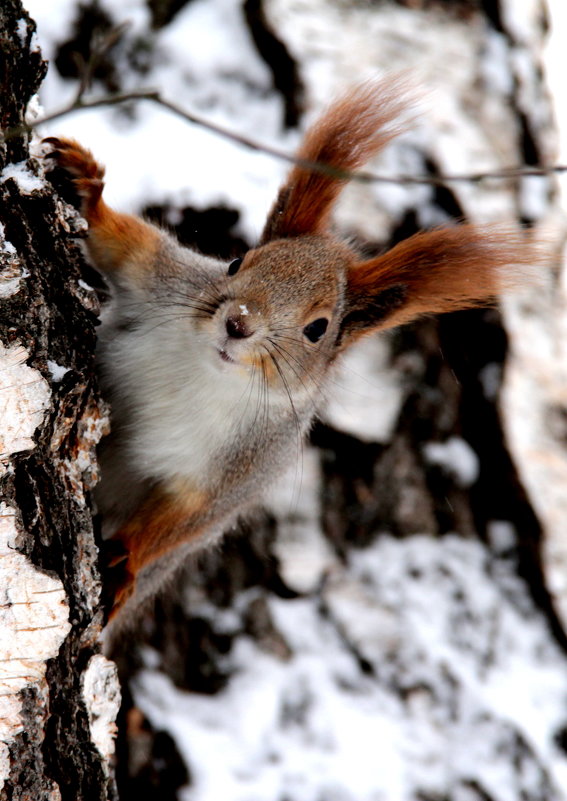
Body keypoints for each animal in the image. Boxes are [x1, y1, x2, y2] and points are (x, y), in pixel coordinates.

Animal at [42, 78, 536, 620]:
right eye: (237, 263)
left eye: (318, 328)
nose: (238, 323)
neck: (209, 370)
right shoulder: (165, 280)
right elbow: (125, 246)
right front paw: (86, 188)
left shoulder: (244, 465)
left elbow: (186, 517)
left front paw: (124, 561)